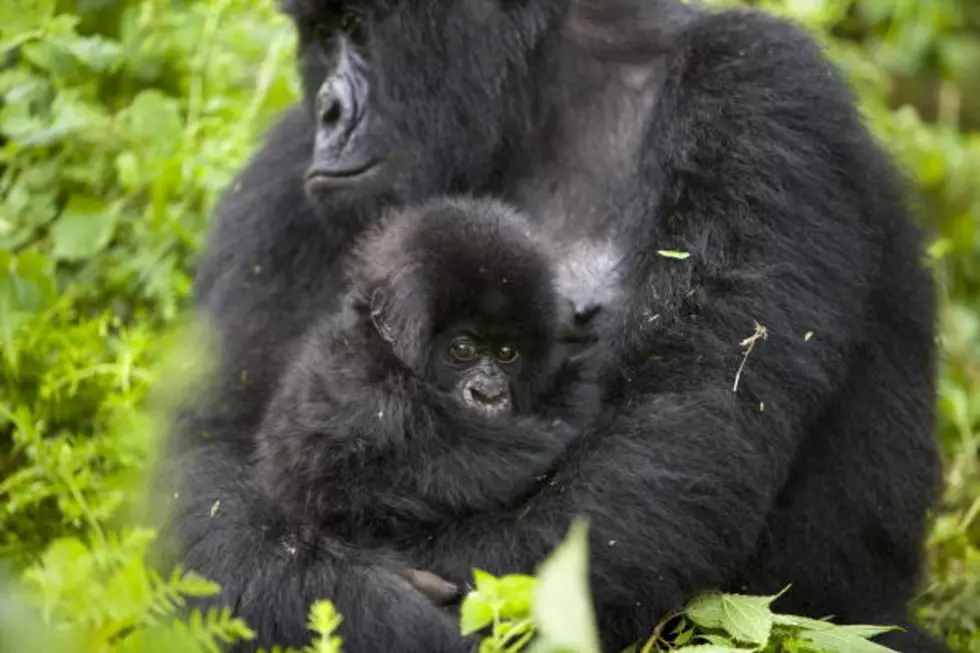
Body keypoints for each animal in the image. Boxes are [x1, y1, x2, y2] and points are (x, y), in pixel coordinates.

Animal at [253, 200, 600, 552]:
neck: (385, 353)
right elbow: (496, 462)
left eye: (507, 353)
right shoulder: (379, 402)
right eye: (462, 349)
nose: (488, 393)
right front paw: (579, 381)